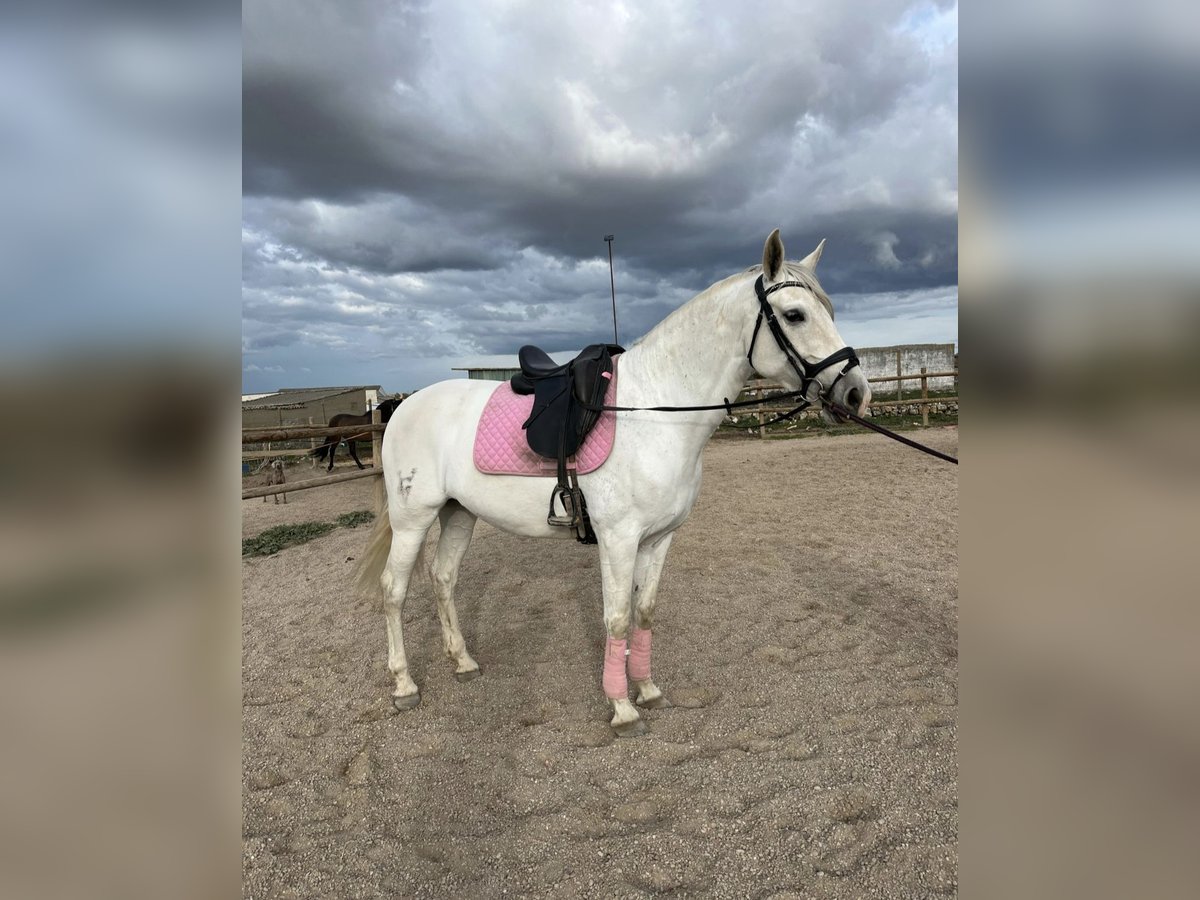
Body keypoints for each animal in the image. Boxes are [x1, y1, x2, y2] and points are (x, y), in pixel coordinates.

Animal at [355, 230, 871, 737]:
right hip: (413, 519)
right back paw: (404, 684)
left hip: (458, 512)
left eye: (829, 311)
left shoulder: (659, 539)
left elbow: (644, 612)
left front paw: (647, 689)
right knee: (393, 590)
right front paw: (622, 708)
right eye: (795, 314)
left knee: (443, 578)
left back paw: (462, 661)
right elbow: (617, 619)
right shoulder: (617, 539)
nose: (856, 394)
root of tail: (404, 405)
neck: (656, 410)